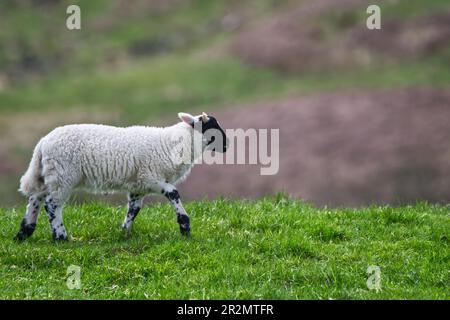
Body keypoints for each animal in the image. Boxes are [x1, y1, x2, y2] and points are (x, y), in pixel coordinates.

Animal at [14, 112, 229, 240]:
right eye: (212, 126)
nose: (227, 146)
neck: (171, 143)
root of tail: (42, 143)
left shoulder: (138, 186)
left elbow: (134, 209)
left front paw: (124, 231)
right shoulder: (150, 177)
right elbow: (173, 193)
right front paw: (184, 226)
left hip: (50, 175)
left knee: (35, 199)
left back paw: (24, 232)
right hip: (62, 176)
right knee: (52, 204)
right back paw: (61, 236)